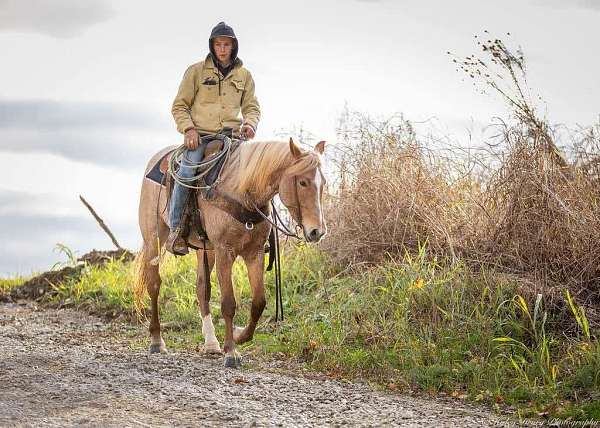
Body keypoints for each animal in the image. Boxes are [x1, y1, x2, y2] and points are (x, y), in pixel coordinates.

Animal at [134, 138, 326, 368]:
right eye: (303, 182)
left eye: (323, 184)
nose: (317, 232)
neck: (242, 192)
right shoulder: (225, 252)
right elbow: (228, 303)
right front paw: (232, 353)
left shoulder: (254, 253)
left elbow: (259, 302)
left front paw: (239, 336)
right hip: (154, 238)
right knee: (154, 283)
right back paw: (157, 340)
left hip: (206, 250)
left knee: (202, 289)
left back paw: (211, 344)